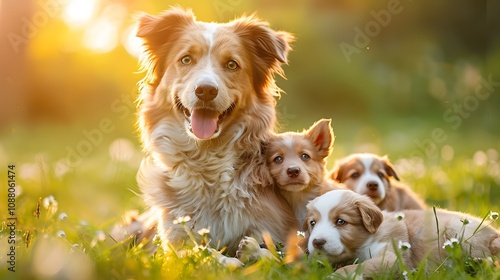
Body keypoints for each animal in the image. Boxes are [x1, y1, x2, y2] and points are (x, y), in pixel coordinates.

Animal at [132, 6, 296, 256]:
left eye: (232, 64)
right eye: (186, 59)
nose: (206, 90)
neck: (206, 157)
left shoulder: (273, 230)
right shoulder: (175, 241)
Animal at [302, 189, 500, 276]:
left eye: (341, 222)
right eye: (312, 223)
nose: (317, 242)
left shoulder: (392, 257)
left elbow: (357, 267)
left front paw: (333, 276)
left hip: (459, 230)